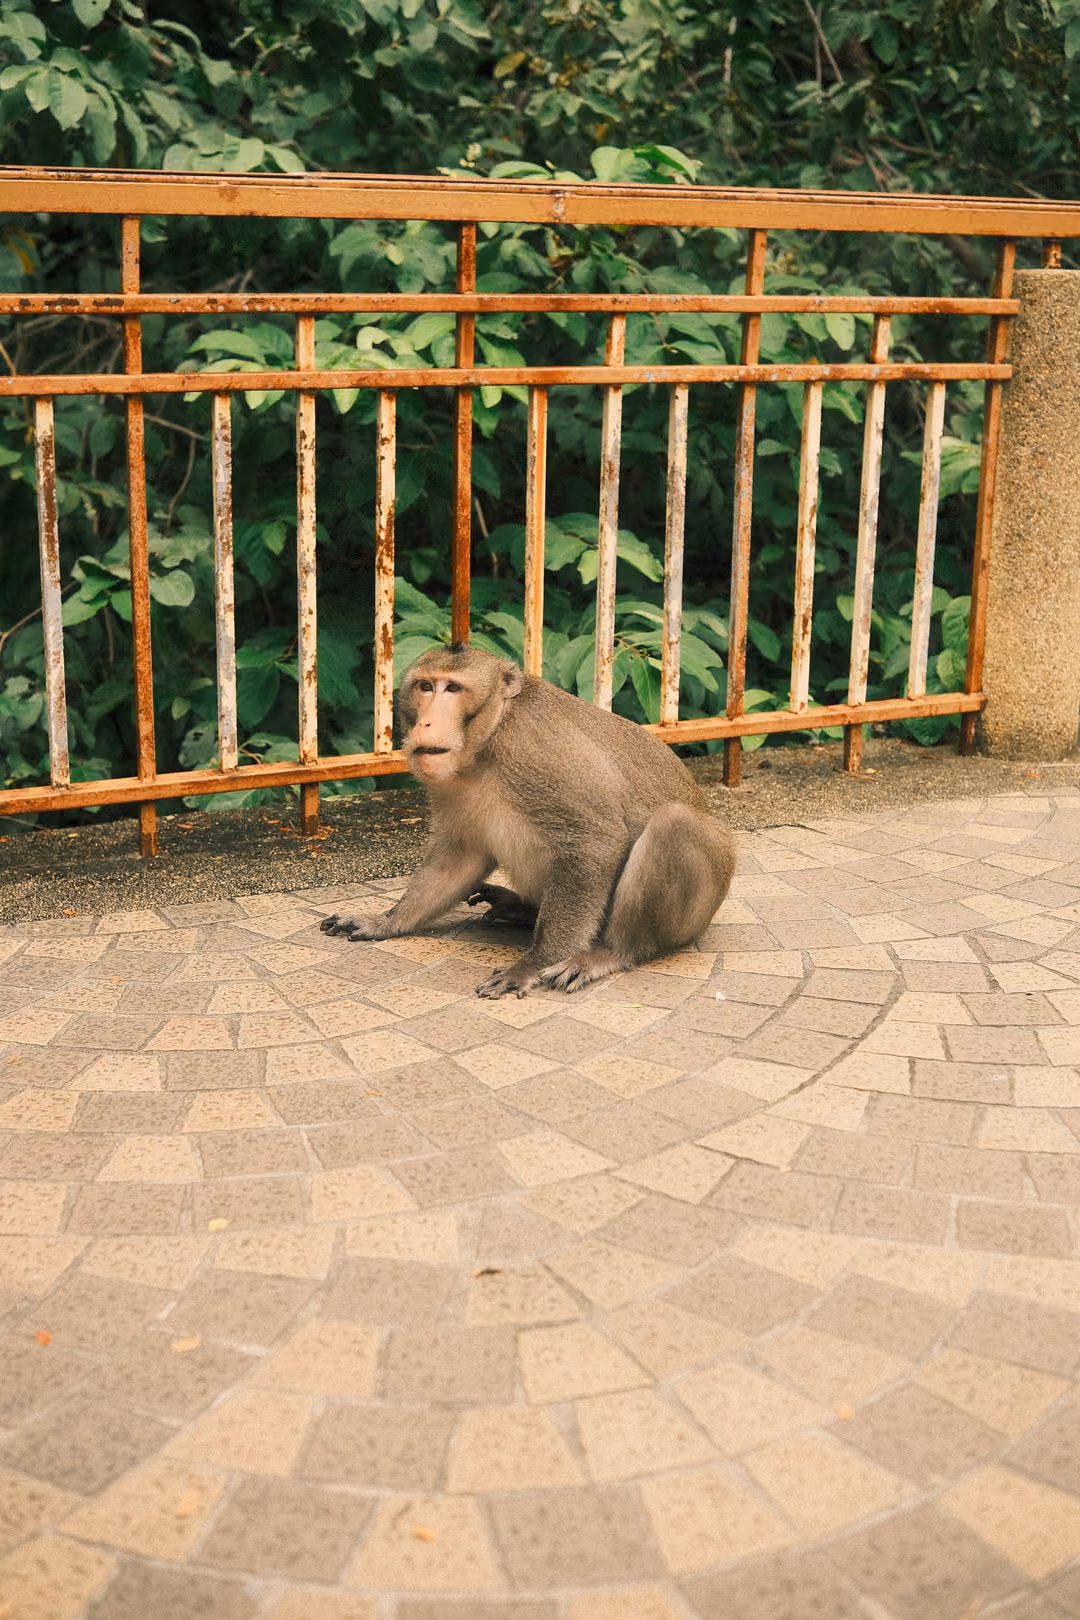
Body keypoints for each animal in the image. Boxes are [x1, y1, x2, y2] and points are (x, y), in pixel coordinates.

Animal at [321, 642, 736, 999]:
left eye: (452, 688)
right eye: (426, 686)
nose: (425, 725)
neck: (490, 739)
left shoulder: (536, 755)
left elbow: (595, 842)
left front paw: (532, 964)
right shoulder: (449, 783)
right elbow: (458, 858)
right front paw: (385, 922)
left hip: (697, 908)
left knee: (674, 824)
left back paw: (612, 952)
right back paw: (519, 908)